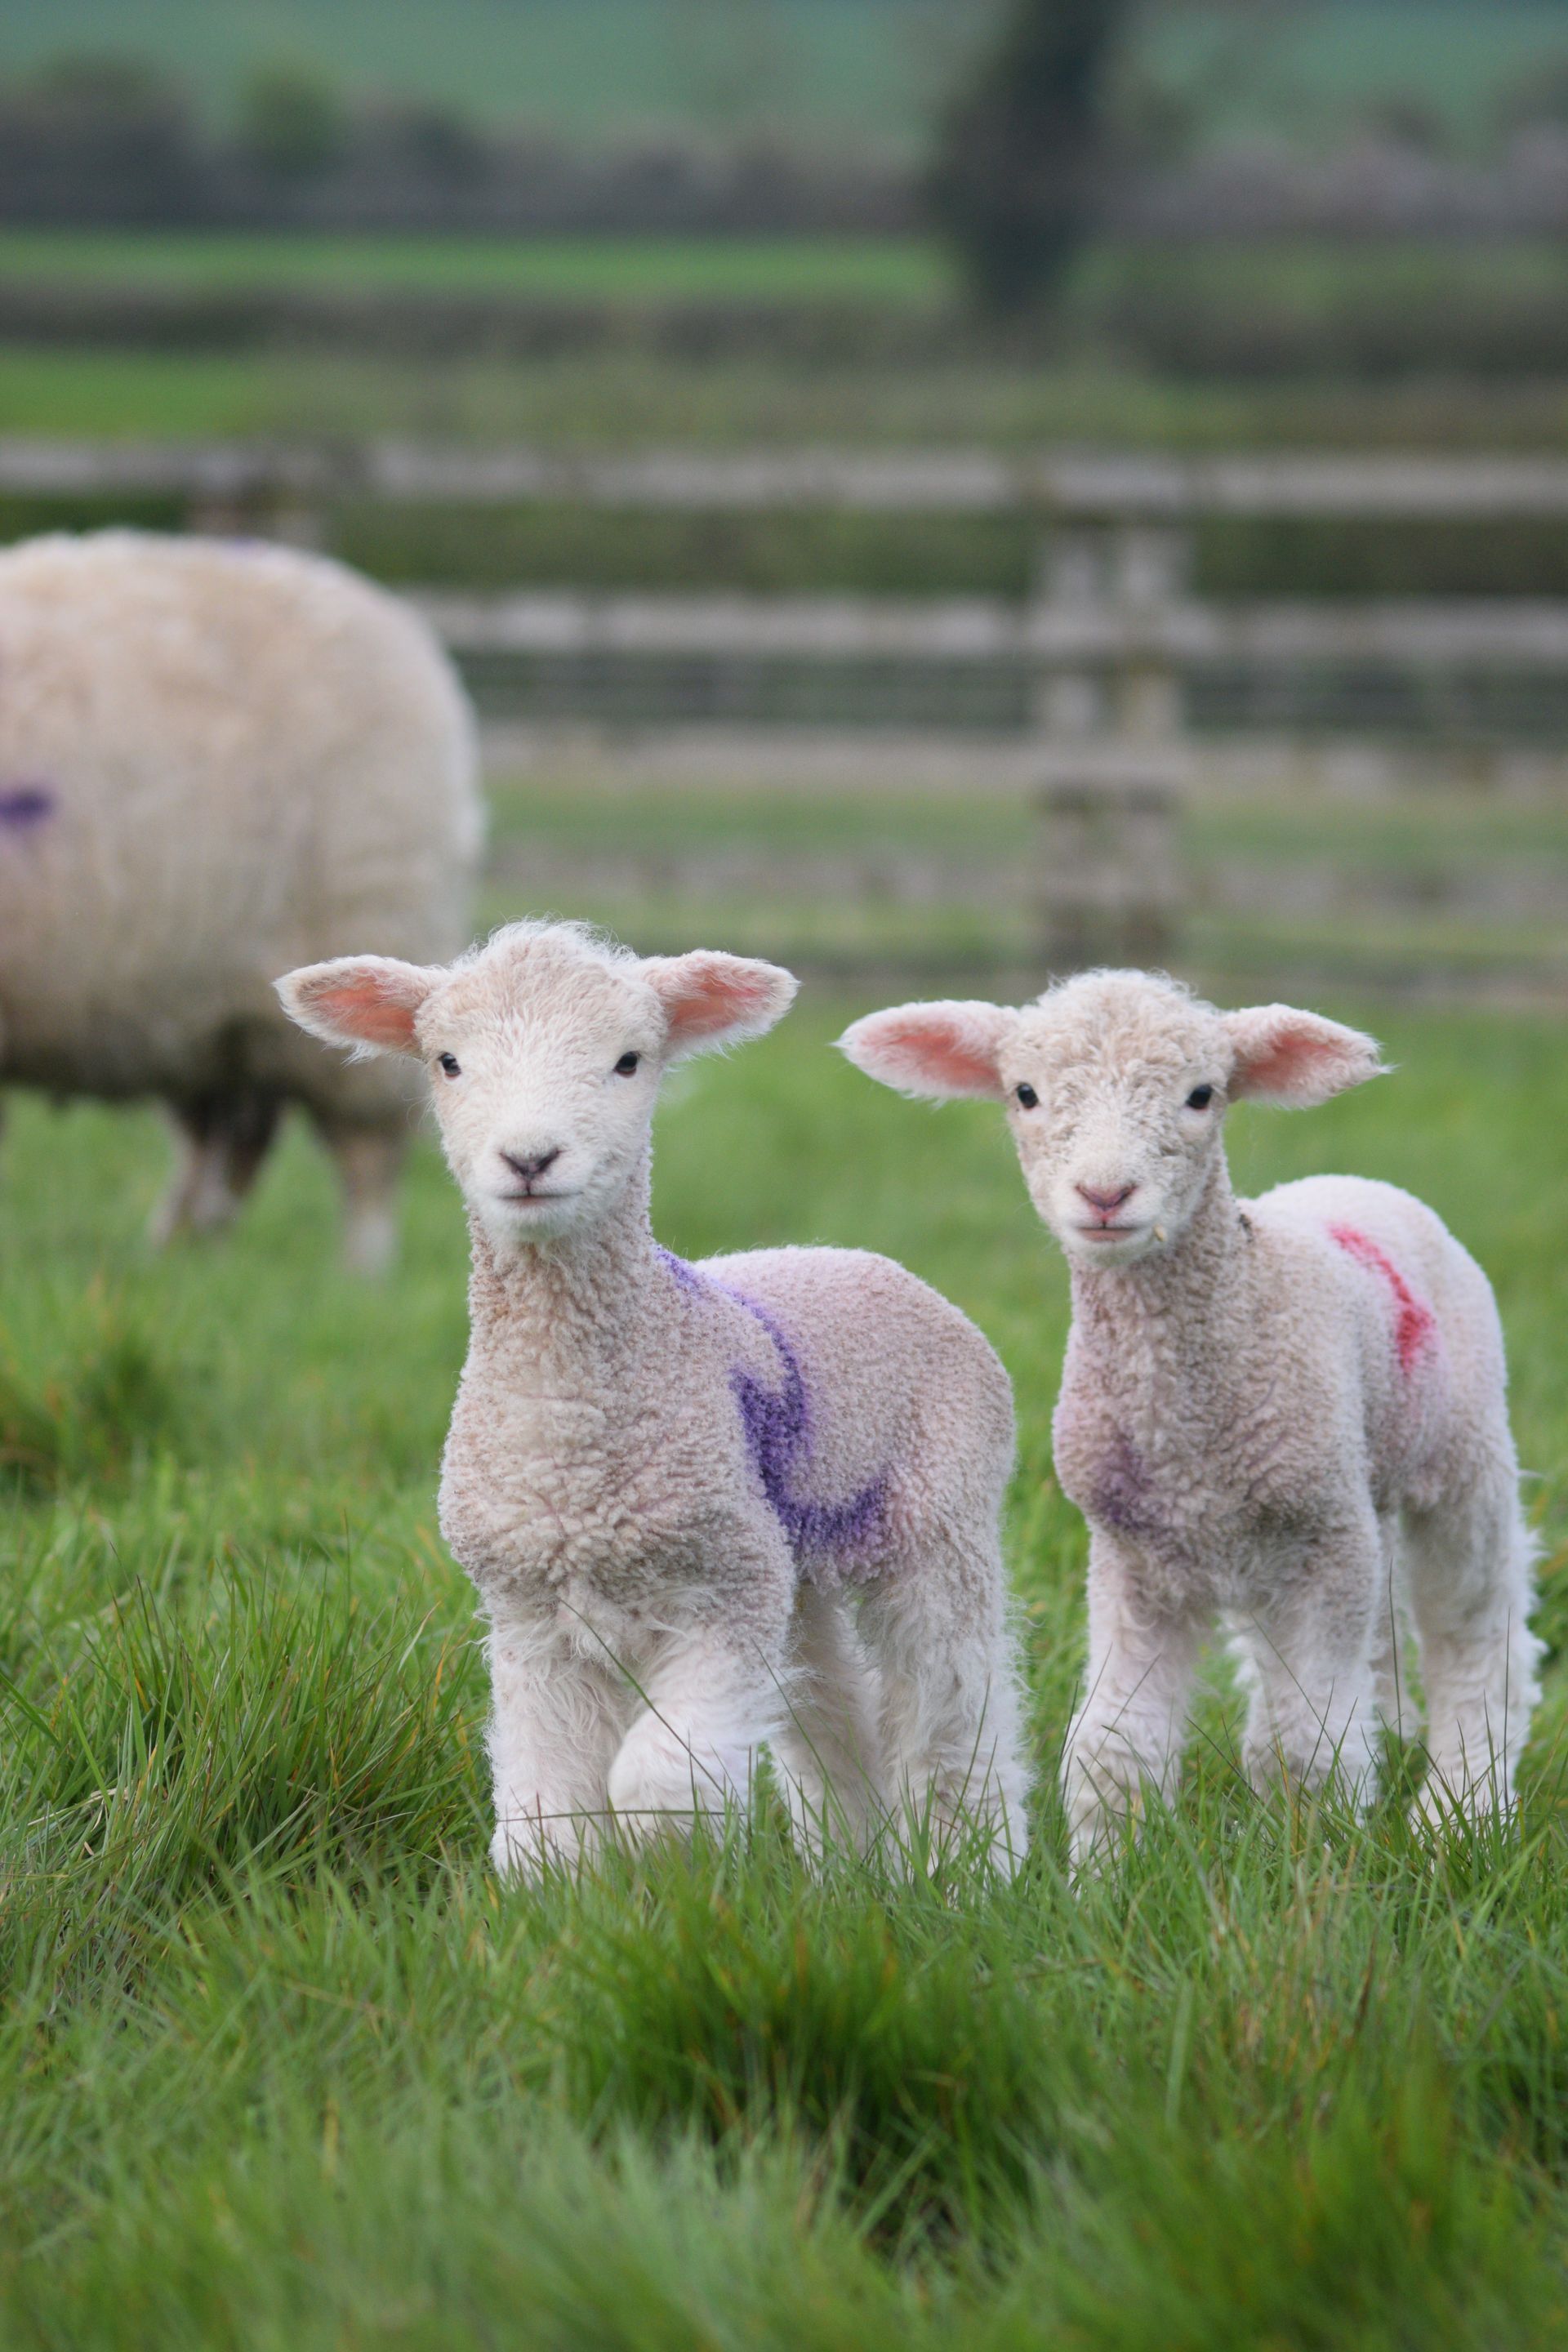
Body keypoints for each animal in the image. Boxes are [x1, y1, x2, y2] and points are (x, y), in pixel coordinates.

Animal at [0, 529, 481, 1270]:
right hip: (204, 1012)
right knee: (227, 1145)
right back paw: (176, 1256)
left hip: (366, 915)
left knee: (365, 1152)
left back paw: (359, 1273)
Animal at [276, 919, 1031, 1876]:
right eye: (446, 1062)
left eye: (629, 1061)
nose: (529, 1158)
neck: (568, 1441)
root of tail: (853, 1255)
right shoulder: (532, 1617)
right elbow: (547, 1816)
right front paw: (569, 1901)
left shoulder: (723, 1593)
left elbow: (657, 1782)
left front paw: (674, 1870)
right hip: (794, 1557)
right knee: (834, 1711)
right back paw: (852, 1871)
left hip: (939, 1511)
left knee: (955, 1711)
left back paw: (973, 1872)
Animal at [841, 970, 1541, 1862]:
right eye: (1025, 1093)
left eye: (1202, 1095)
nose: (1105, 1194)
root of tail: (1359, 1184)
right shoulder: (1133, 1554)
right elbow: (1115, 1742)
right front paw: (1105, 1873)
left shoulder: (1323, 1536)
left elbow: (1305, 1745)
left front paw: (1313, 1864)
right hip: (1342, 1500)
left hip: (1463, 1449)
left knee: (1476, 1628)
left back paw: (1465, 1807)